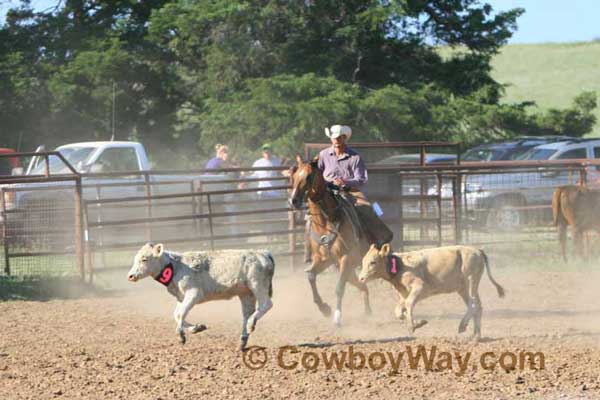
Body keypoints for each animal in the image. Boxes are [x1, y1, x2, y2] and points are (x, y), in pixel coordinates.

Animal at [290, 158, 372, 326]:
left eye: (309, 176)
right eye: (294, 176)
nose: (294, 200)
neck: (325, 222)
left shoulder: (345, 258)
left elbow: (339, 288)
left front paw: (337, 317)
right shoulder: (323, 260)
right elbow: (311, 276)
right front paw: (324, 309)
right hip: (347, 269)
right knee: (360, 284)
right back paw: (367, 310)